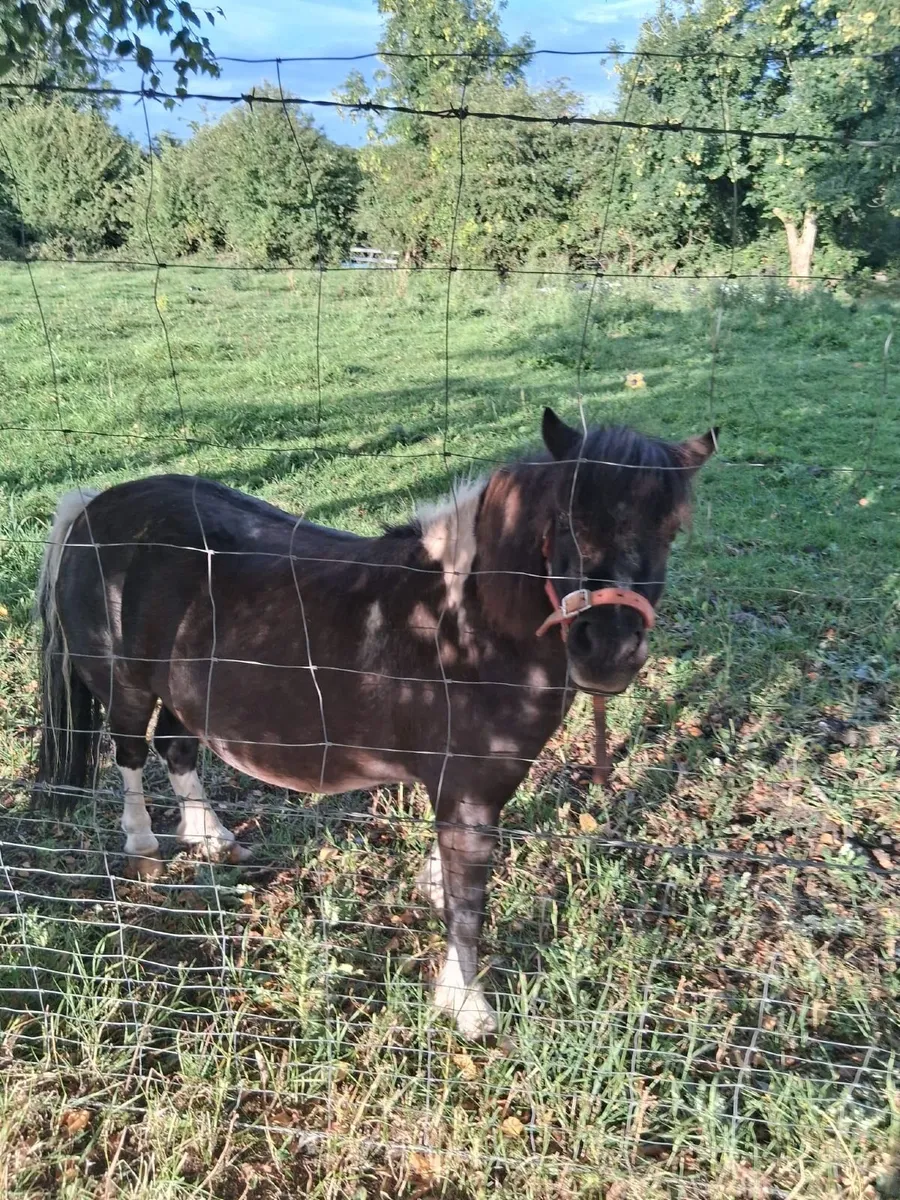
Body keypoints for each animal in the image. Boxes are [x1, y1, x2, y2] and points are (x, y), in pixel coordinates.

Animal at [35, 407, 715, 1038]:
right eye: (567, 522)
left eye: (672, 529)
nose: (608, 651)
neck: (468, 629)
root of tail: (93, 507)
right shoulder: (469, 792)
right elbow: (469, 903)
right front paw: (467, 1006)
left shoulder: (468, 790)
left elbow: (452, 877)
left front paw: (433, 899)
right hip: (125, 688)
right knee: (129, 753)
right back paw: (144, 848)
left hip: (185, 698)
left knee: (176, 750)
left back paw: (212, 838)